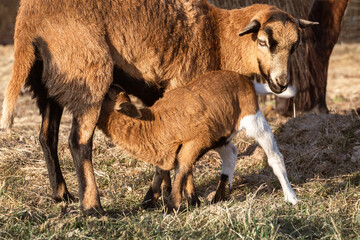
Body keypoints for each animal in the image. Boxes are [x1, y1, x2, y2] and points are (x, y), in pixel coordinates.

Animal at [0, 0, 316, 215]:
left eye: (295, 46)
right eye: (263, 41)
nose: (280, 83)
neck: (219, 36)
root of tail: (27, 20)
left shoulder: (162, 98)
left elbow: (166, 150)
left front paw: (163, 197)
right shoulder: (183, 85)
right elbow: (181, 155)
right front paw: (186, 199)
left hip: (49, 82)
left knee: (47, 136)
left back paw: (61, 194)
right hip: (87, 70)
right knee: (78, 141)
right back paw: (92, 206)